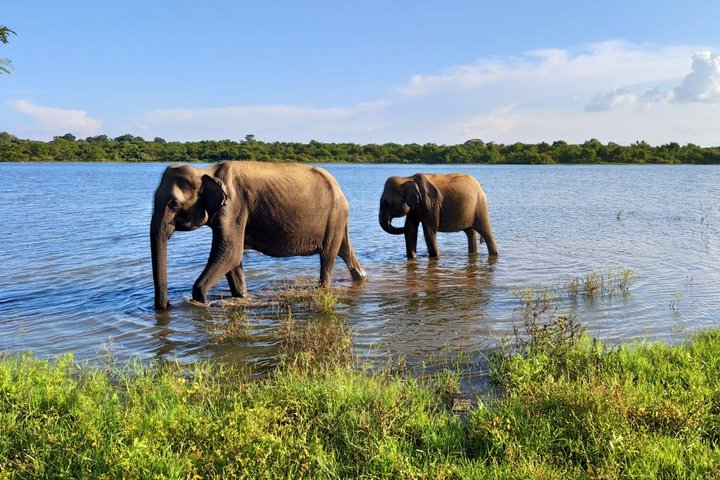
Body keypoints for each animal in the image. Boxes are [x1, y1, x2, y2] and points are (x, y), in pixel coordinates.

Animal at [150, 161, 366, 312]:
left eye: (174, 204)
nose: (168, 304)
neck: (206, 171)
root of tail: (338, 187)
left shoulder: (235, 207)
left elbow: (229, 254)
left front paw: (200, 301)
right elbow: (232, 260)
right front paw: (241, 297)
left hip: (334, 216)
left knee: (328, 256)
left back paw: (323, 288)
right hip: (337, 218)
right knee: (345, 251)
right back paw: (361, 278)